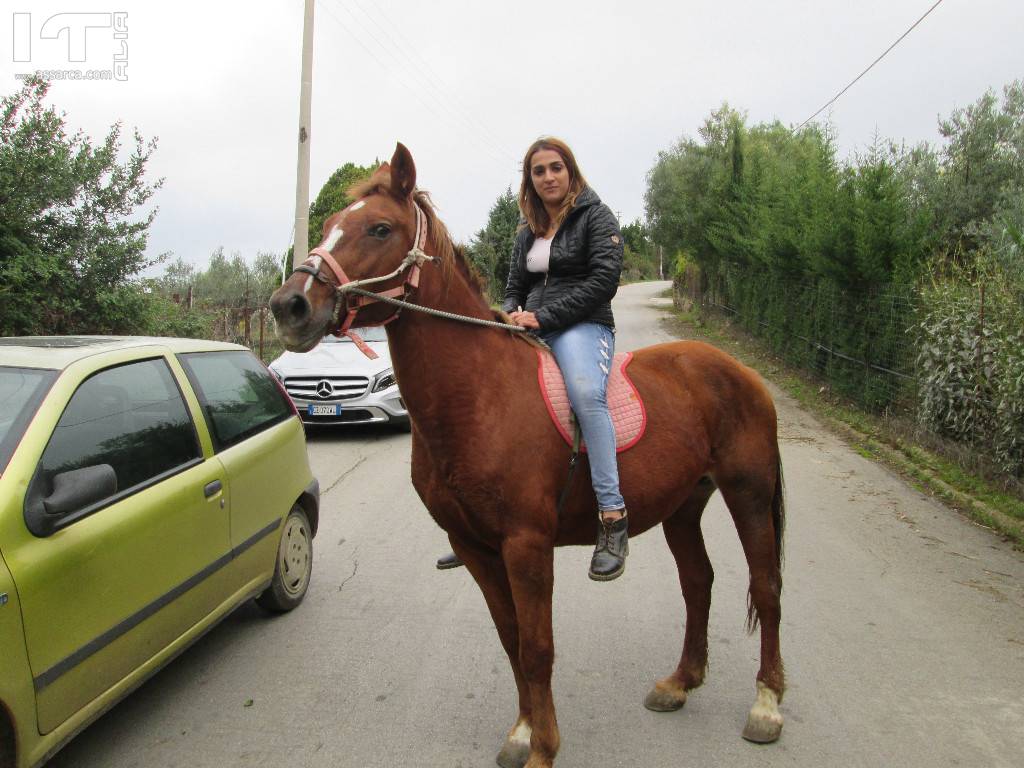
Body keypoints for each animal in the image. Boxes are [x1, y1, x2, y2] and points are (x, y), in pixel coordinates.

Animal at [268, 145, 786, 768]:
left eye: (380, 228)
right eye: (325, 226)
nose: (289, 306)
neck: (479, 398)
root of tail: (740, 371)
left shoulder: (526, 546)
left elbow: (538, 647)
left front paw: (543, 748)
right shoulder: (476, 548)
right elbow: (510, 639)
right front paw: (521, 732)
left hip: (748, 494)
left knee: (766, 587)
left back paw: (766, 706)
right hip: (685, 505)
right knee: (699, 582)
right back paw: (680, 682)